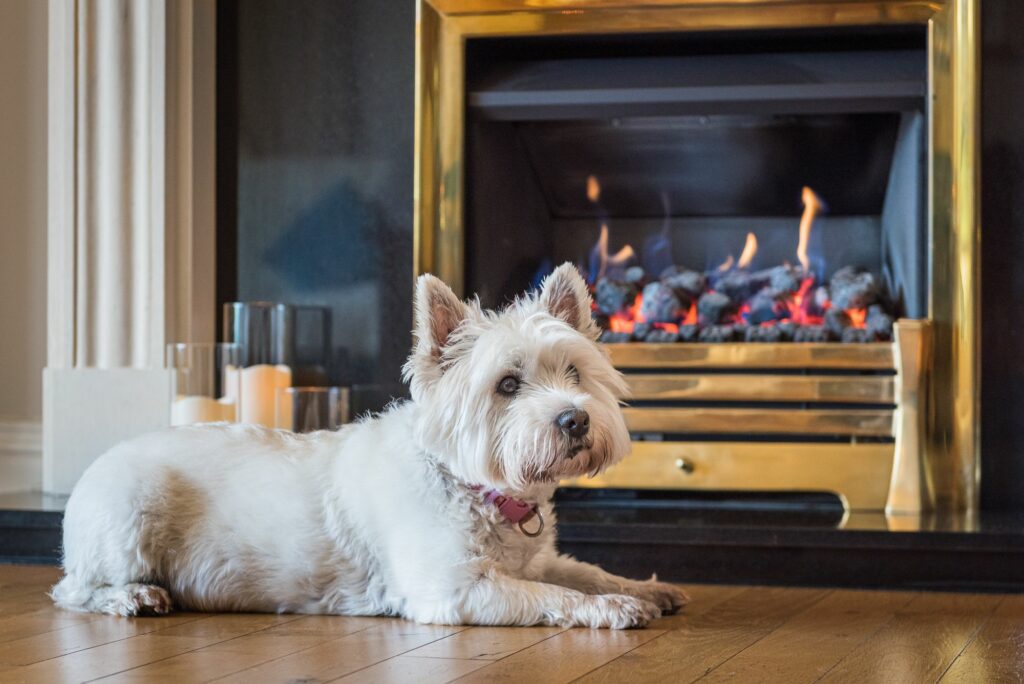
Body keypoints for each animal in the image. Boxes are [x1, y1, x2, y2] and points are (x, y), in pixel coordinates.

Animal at [49, 264, 688, 626]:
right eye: (507, 384)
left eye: (575, 373)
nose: (575, 420)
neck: (469, 484)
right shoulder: (452, 590)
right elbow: (550, 595)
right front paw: (614, 610)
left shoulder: (537, 558)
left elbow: (583, 572)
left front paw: (644, 588)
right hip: (129, 517)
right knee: (72, 589)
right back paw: (133, 598)